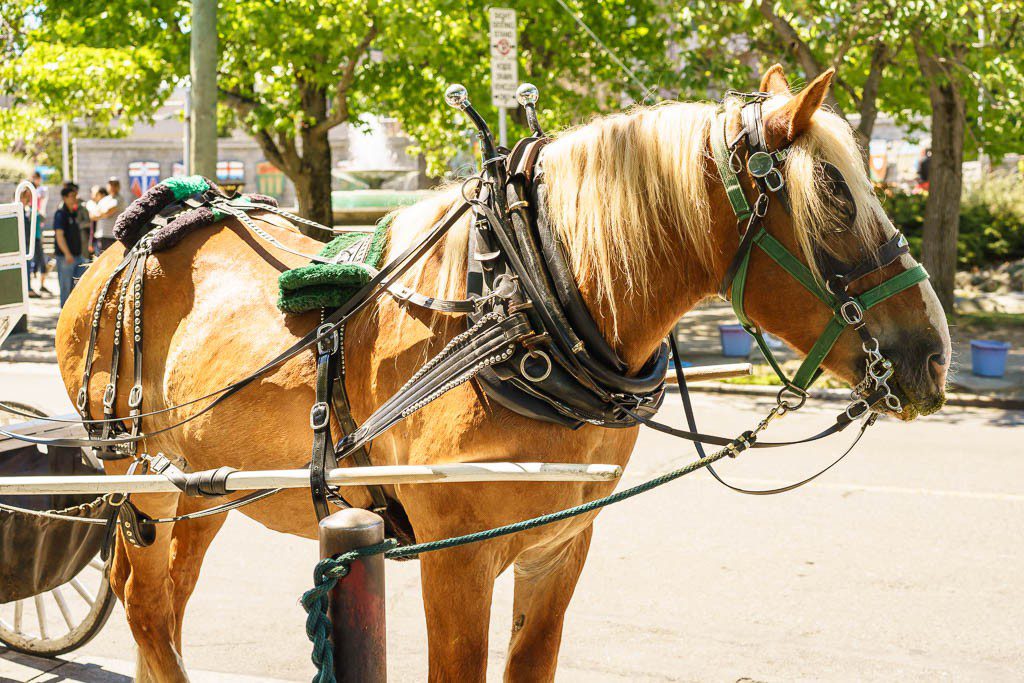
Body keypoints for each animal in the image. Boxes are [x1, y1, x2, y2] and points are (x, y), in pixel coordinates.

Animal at [56, 65, 950, 683]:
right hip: (140, 475)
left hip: (202, 485)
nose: (932, 353)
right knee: (144, 602)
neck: (524, 307)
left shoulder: (560, 544)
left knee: (163, 604)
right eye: (834, 194)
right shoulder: (455, 557)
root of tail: (129, 237)